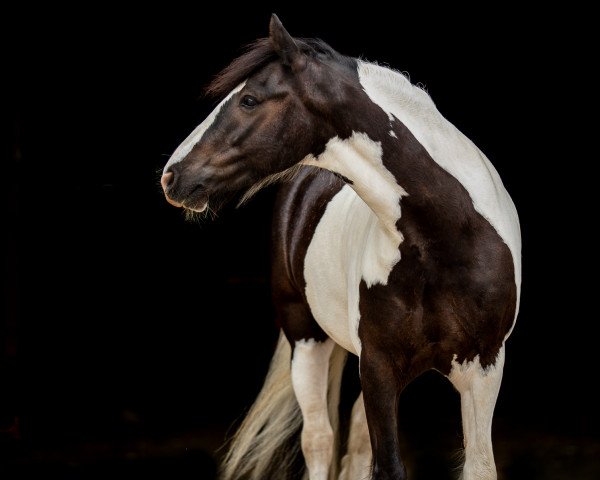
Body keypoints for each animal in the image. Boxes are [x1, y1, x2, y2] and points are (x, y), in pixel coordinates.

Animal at [159, 15, 520, 480]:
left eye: (250, 100)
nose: (172, 175)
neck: (448, 238)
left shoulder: (484, 369)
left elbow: (478, 465)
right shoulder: (379, 368)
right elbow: (382, 464)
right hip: (306, 339)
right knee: (319, 439)